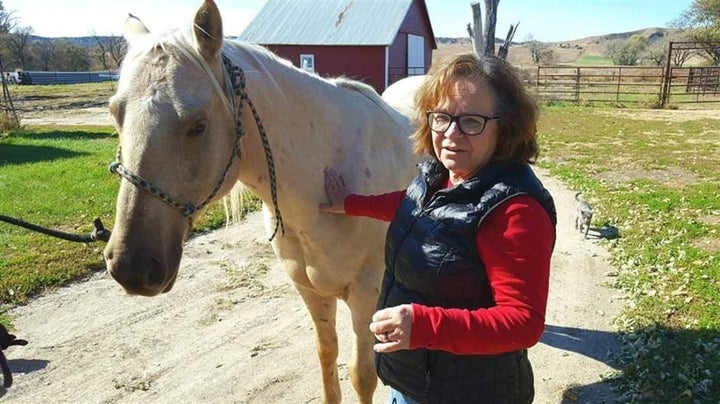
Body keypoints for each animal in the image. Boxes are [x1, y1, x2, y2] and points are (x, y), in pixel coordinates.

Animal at [101, 0, 416, 404]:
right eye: (115, 114)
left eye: (198, 125)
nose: (131, 266)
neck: (324, 178)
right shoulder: (311, 291)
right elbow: (326, 355)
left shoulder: (366, 294)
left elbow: (362, 375)